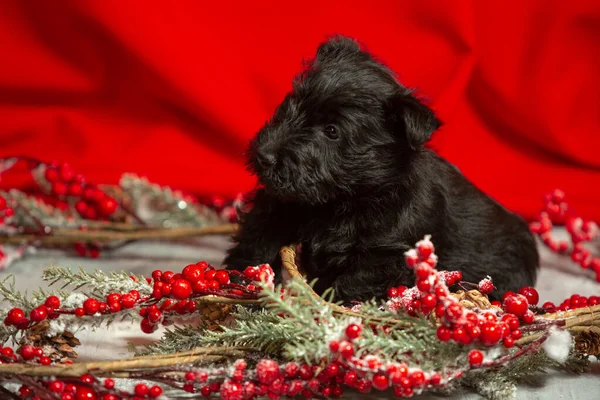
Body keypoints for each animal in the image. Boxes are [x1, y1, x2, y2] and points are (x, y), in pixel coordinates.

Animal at [224, 35, 540, 304]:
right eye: (290, 105)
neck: (343, 199)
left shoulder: (384, 257)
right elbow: (258, 236)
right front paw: (239, 275)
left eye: (332, 131)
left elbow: (350, 285)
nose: (264, 156)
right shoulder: (282, 204)